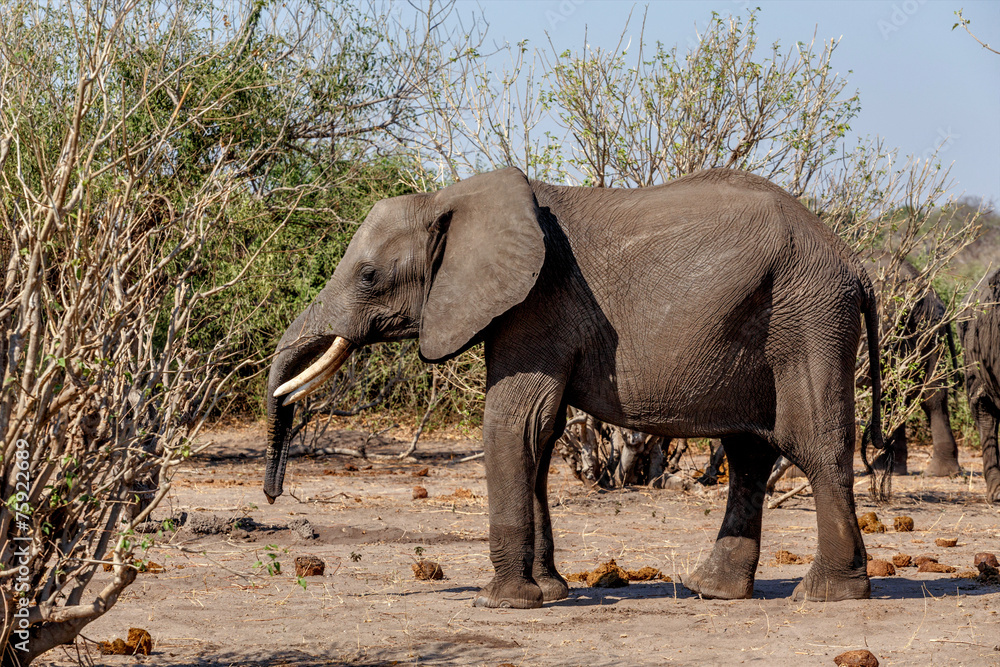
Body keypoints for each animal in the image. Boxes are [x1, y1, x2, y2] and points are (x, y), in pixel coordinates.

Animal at [262, 167, 888, 607]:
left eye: (370, 277)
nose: (272, 493)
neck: (451, 199)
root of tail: (855, 264)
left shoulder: (536, 304)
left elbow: (514, 423)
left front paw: (502, 603)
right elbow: (541, 435)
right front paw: (550, 591)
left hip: (809, 319)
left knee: (813, 446)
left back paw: (826, 594)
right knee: (750, 453)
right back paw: (713, 590)